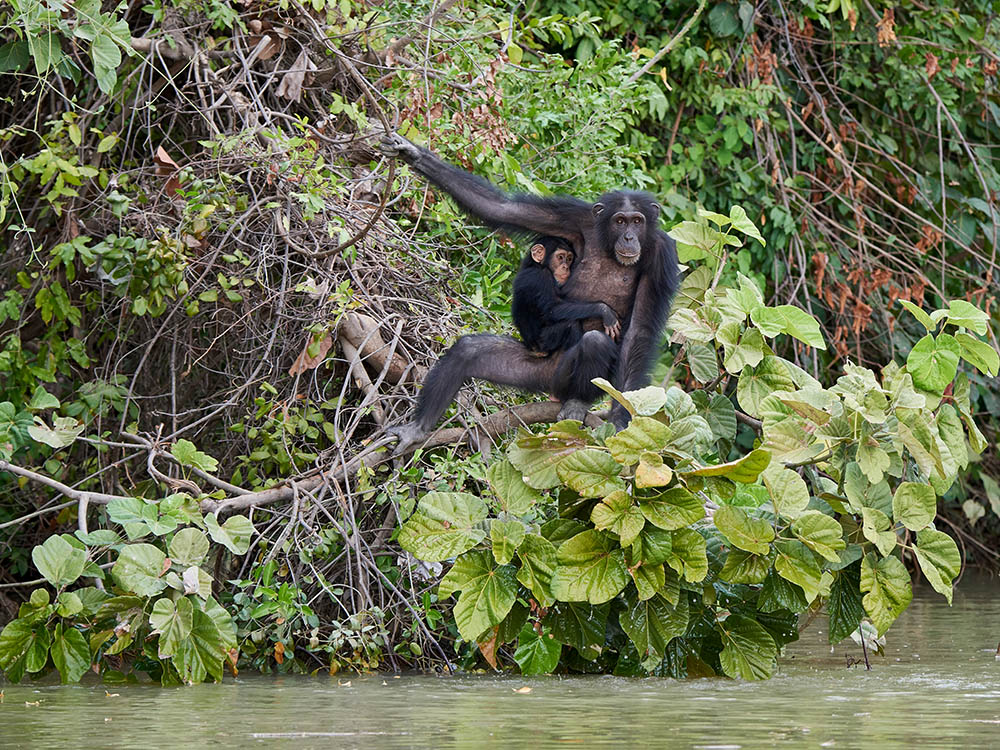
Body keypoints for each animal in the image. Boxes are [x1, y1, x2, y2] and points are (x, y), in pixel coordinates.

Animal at [376, 132, 680, 456]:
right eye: (620, 220)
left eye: (638, 220)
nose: (629, 237)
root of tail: (553, 388)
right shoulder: (574, 218)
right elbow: (504, 209)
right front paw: (412, 154)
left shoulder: (662, 257)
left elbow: (639, 332)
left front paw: (623, 419)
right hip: (538, 370)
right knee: (469, 352)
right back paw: (417, 429)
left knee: (595, 343)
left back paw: (577, 401)